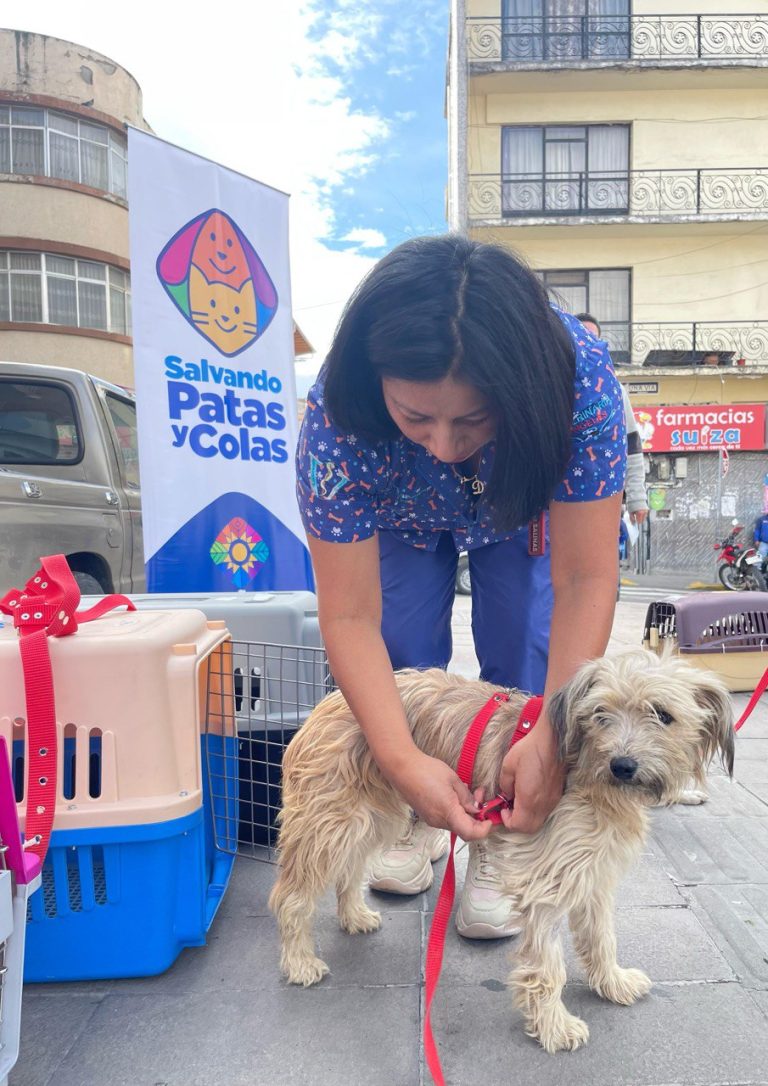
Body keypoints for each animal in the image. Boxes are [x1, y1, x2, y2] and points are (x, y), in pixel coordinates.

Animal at [269, 648, 733, 1054]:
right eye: (601, 714)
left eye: (664, 716)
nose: (622, 766)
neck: (585, 773)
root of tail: (329, 701)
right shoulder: (548, 886)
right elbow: (548, 967)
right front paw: (554, 1026)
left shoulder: (593, 876)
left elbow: (602, 937)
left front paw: (612, 982)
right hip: (330, 823)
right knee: (292, 897)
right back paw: (300, 961)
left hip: (372, 816)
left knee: (350, 869)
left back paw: (353, 915)